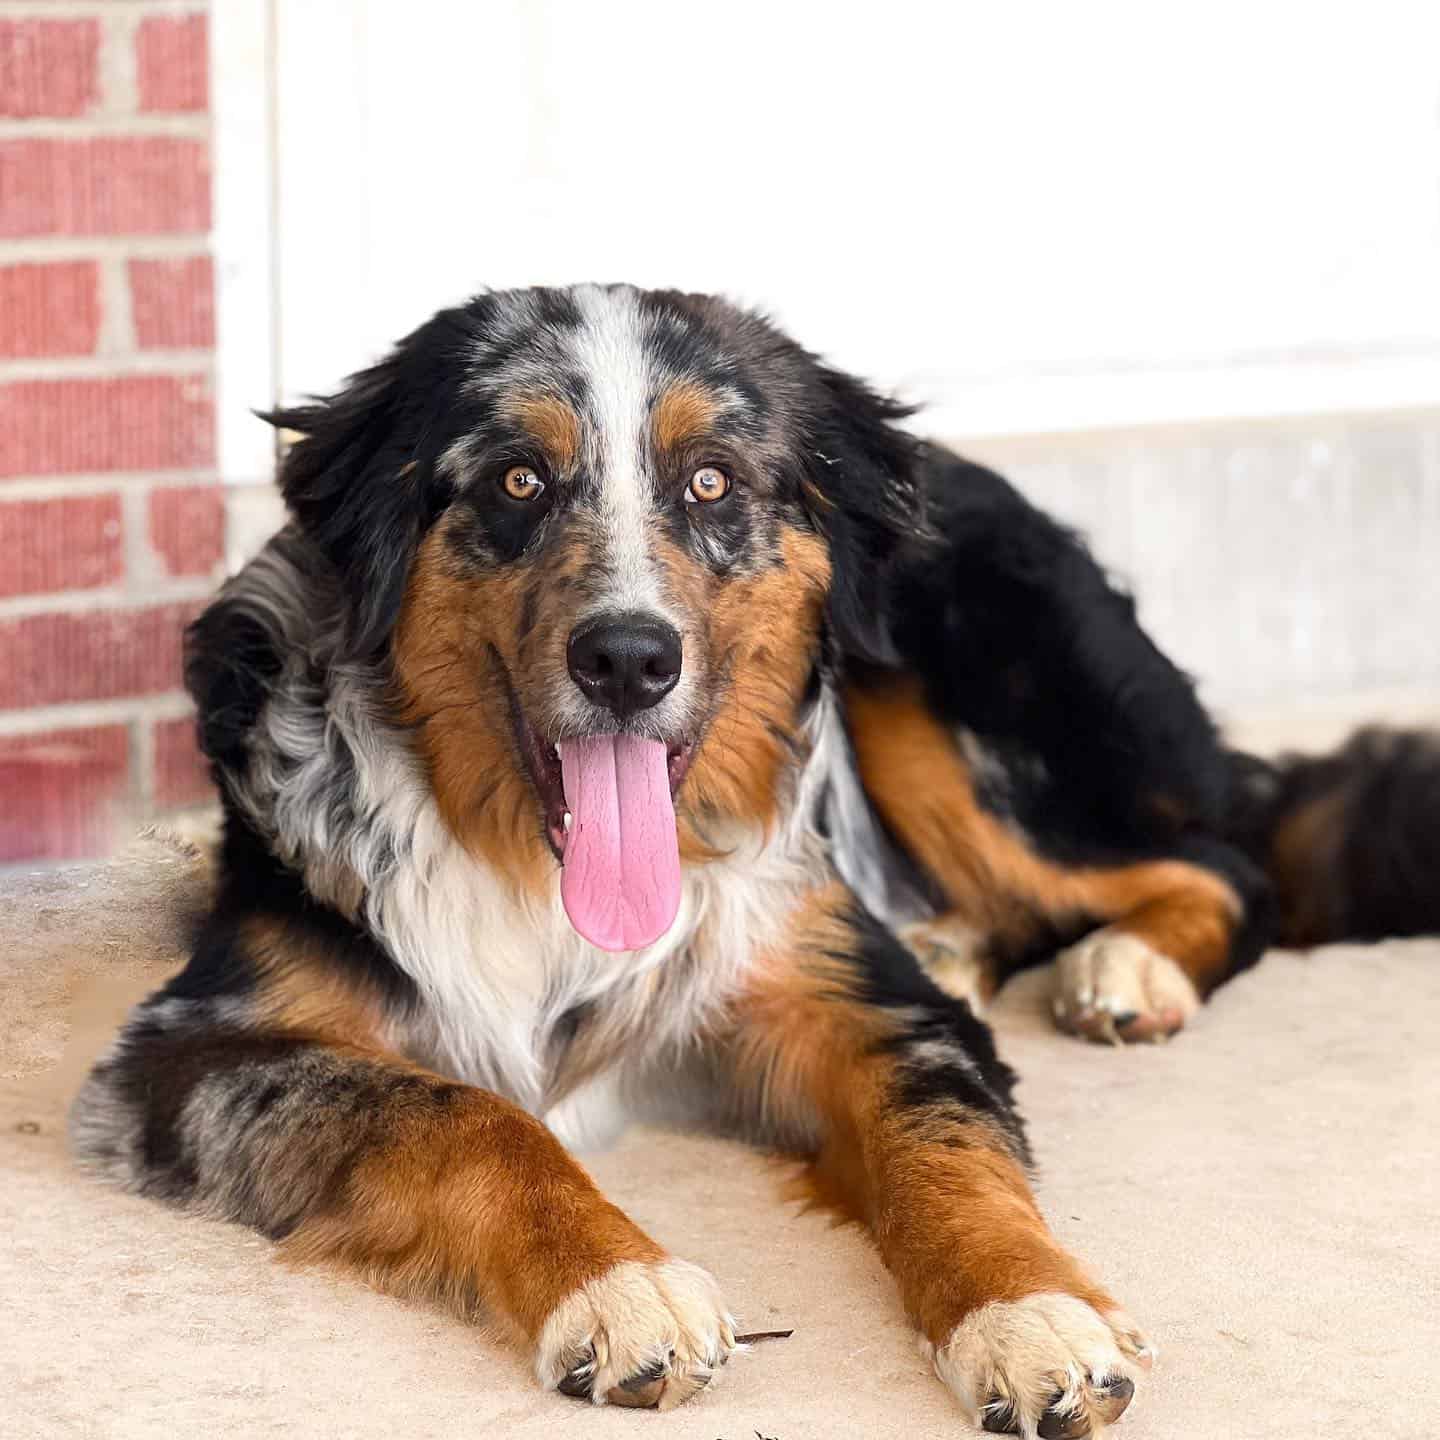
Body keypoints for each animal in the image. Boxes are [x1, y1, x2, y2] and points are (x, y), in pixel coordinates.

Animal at [70, 286, 1440, 1434]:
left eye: (713, 482)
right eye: (518, 477)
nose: (629, 659)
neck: (544, 880)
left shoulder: (856, 1000)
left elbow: (948, 1148)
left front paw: (1033, 1313)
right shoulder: (193, 1050)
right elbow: (468, 1114)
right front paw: (620, 1285)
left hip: (943, 700)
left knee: (1229, 865)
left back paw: (1125, 971)